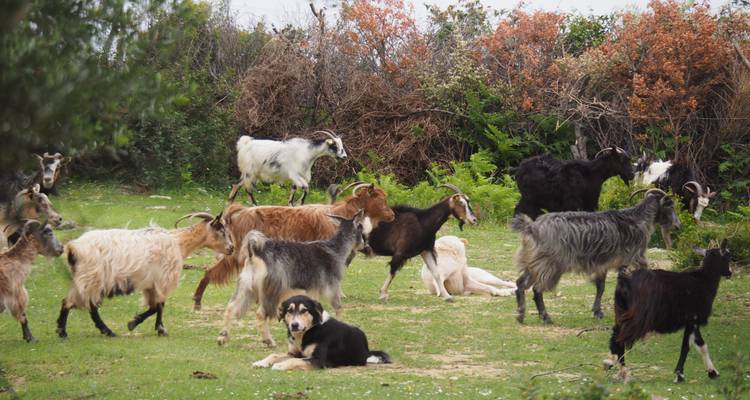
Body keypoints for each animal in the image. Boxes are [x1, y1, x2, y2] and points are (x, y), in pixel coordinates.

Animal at [55, 213, 233, 338]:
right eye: (221, 229)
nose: (231, 248)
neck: (178, 242)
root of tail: (72, 247)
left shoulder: (151, 284)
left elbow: (156, 306)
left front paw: (141, 324)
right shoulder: (162, 280)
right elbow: (159, 305)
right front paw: (150, 327)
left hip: (85, 278)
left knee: (73, 302)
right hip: (92, 277)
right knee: (81, 304)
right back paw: (71, 332)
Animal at [191, 183, 395, 310]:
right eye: (381, 198)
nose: (392, 214)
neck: (341, 215)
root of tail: (239, 212)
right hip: (238, 253)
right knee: (213, 270)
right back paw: (198, 299)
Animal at [216, 210, 367, 347]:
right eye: (360, 228)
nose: (365, 246)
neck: (335, 250)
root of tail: (255, 251)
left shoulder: (312, 291)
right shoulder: (331, 286)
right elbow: (339, 307)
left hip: (246, 287)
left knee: (231, 307)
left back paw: (222, 337)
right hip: (272, 291)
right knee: (260, 313)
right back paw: (269, 341)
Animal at [512, 188, 680, 324]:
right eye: (671, 205)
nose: (678, 226)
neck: (637, 219)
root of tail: (531, 227)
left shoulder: (603, 264)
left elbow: (601, 287)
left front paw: (597, 312)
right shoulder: (629, 259)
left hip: (533, 263)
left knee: (520, 284)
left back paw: (520, 315)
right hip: (549, 265)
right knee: (537, 289)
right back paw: (545, 317)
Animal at [604, 239, 732, 383]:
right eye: (728, 256)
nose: (730, 272)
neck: (704, 281)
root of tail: (624, 281)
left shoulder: (692, 321)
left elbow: (701, 345)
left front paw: (712, 372)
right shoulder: (692, 319)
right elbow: (686, 347)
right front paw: (680, 375)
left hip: (621, 312)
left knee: (616, 334)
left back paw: (611, 363)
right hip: (637, 316)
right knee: (620, 338)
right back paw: (623, 371)